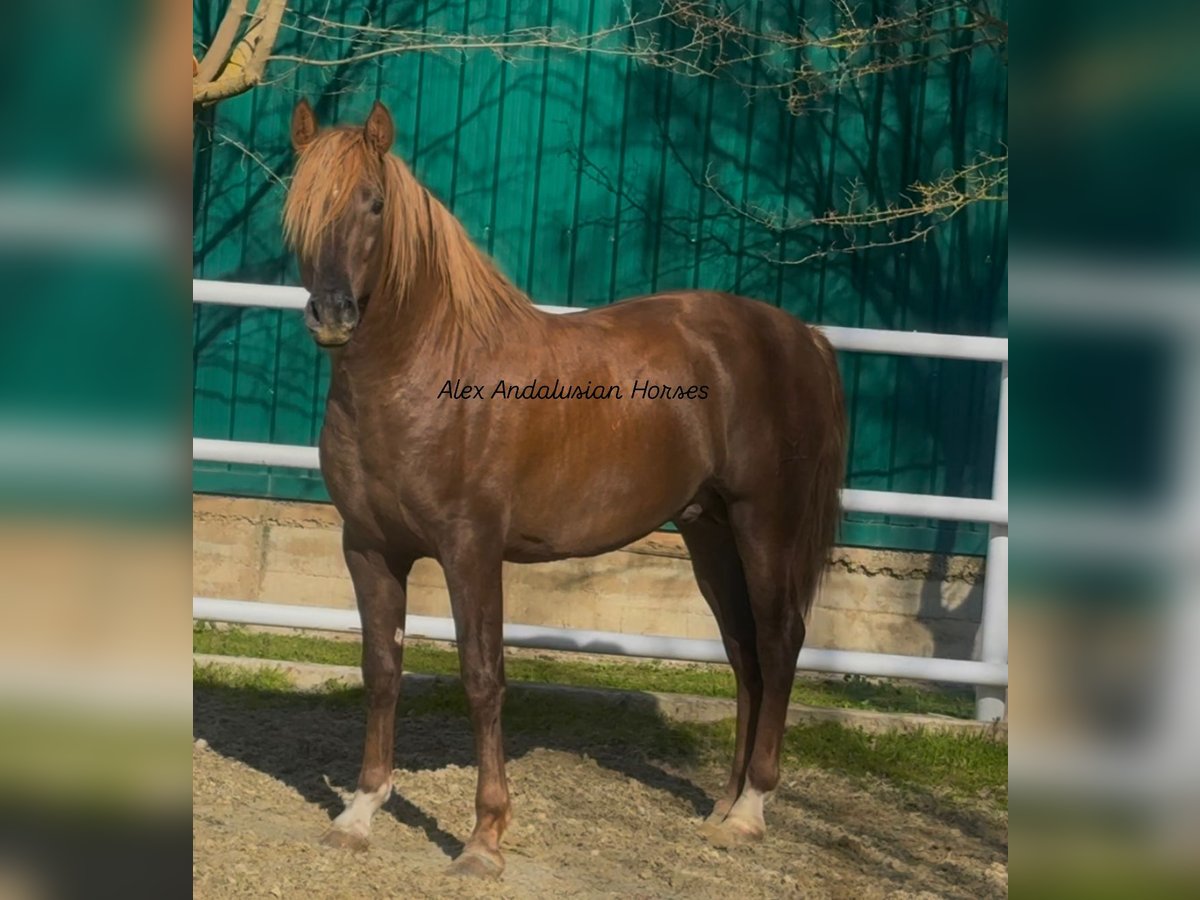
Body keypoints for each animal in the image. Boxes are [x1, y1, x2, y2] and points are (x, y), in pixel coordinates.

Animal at [283, 100, 844, 883]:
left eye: (373, 204)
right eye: (300, 208)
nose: (332, 315)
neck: (425, 372)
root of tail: (801, 336)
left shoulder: (471, 549)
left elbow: (482, 676)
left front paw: (484, 840)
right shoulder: (368, 548)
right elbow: (381, 669)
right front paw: (360, 814)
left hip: (767, 523)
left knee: (779, 640)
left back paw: (751, 812)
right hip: (709, 530)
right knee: (743, 656)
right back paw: (723, 807)